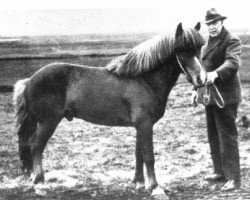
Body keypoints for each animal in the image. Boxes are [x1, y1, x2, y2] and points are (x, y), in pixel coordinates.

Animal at [12, 21, 206, 197]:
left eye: (199, 48)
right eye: (182, 50)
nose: (201, 79)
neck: (144, 80)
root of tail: (29, 81)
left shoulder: (141, 126)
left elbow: (139, 154)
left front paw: (138, 183)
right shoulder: (145, 124)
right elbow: (149, 156)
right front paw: (155, 188)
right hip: (48, 122)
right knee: (35, 145)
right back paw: (40, 184)